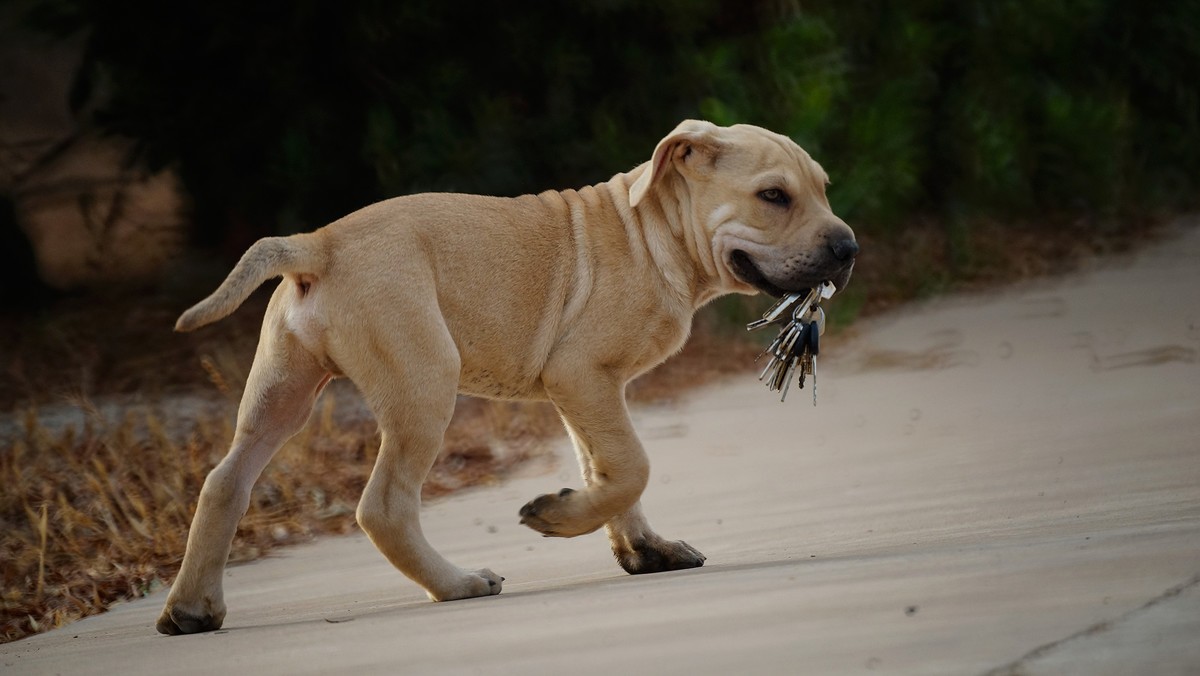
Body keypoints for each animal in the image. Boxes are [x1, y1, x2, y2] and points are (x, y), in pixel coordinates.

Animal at [154, 120, 859, 633]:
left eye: (824, 188)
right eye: (773, 197)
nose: (849, 248)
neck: (653, 231)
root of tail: (318, 243)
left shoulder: (587, 394)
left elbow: (609, 472)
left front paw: (642, 550)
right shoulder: (584, 377)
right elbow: (632, 467)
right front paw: (558, 518)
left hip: (283, 392)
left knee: (225, 483)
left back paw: (191, 611)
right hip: (423, 385)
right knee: (383, 506)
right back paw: (458, 585)